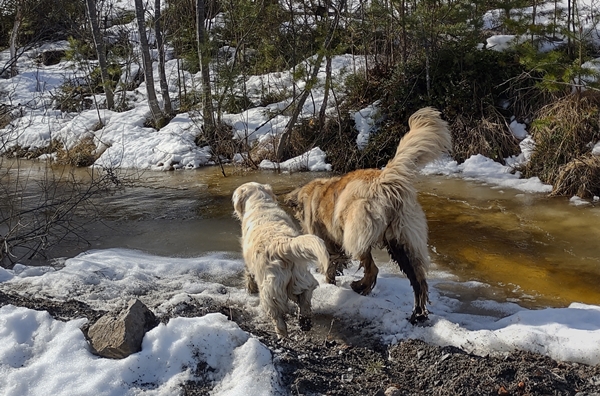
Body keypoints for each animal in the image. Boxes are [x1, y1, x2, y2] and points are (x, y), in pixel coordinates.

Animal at [233, 182, 328, 338]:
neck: (260, 203)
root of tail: (282, 244)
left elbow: (248, 275)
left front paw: (250, 289)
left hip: (270, 292)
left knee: (278, 317)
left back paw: (281, 335)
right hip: (299, 278)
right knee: (305, 296)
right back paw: (305, 322)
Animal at [284, 106, 450, 324]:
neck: (312, 194)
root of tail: (386, 180)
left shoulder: (325, 241)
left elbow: (330, 264)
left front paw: (329, 282)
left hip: (357, 233)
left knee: (372, 268)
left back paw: (360, 287)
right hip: (403, 241)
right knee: (419, 281)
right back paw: (417, 315)